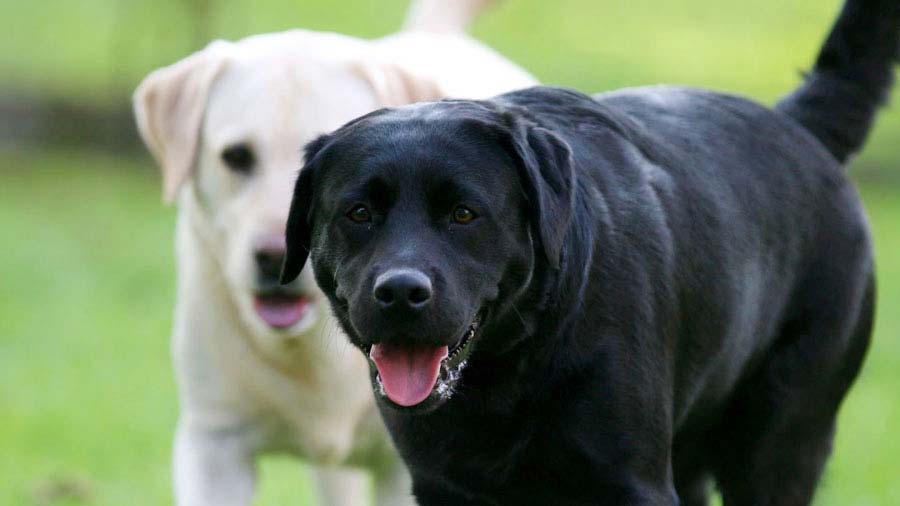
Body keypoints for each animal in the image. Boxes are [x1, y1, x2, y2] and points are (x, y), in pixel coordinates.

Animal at [284, 1, 900, 504]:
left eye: (463, 214)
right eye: (358, 213)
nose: (400, 291)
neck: (509, 370)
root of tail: (799, 125)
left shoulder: (632, 481)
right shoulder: (441, 486)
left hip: (781, 439)